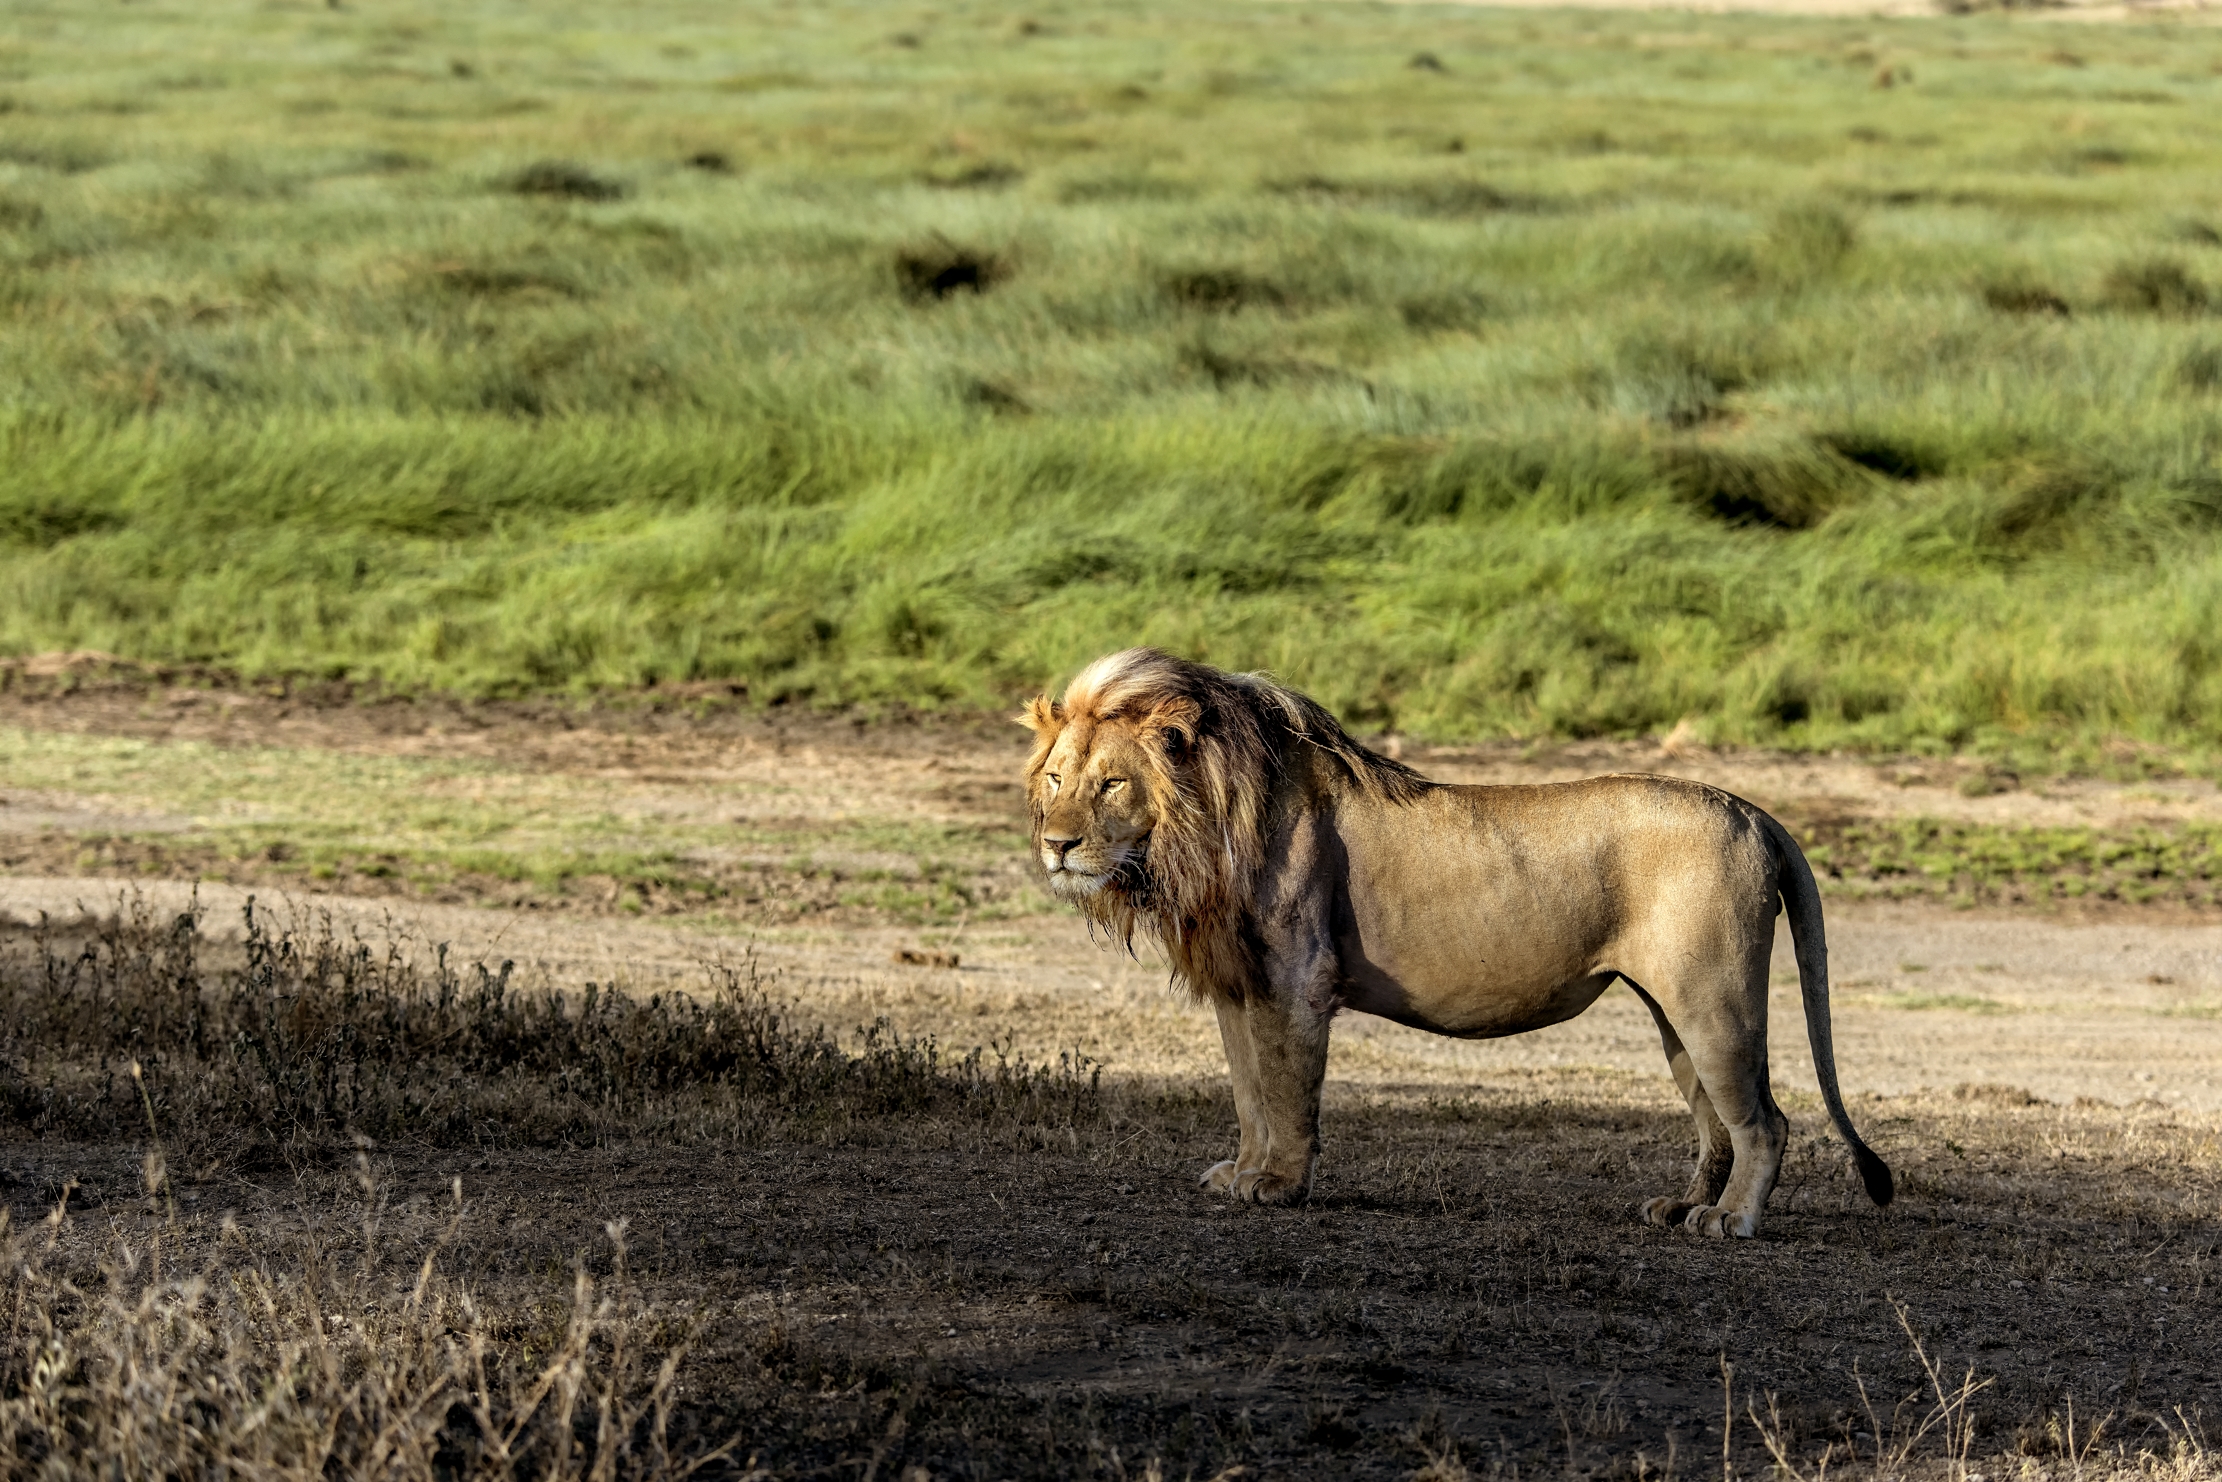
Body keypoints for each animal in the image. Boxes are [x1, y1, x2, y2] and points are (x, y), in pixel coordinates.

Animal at [1020, 648, 1893, 1239]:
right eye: (1057, 780)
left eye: (1113, 783)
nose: (1056, 846)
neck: (1198, 830)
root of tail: (1752, 809)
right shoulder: (1243, 986)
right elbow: (1248, 1093)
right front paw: (1242, 1172)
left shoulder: (1296, 979)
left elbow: (1289, 1093)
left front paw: (1281, 1185)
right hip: (1673, 1011)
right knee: (1715, 1120)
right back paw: (1684, 1205)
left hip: (1715, 1001)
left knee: (1765, 1121)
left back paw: (1731, 1222)